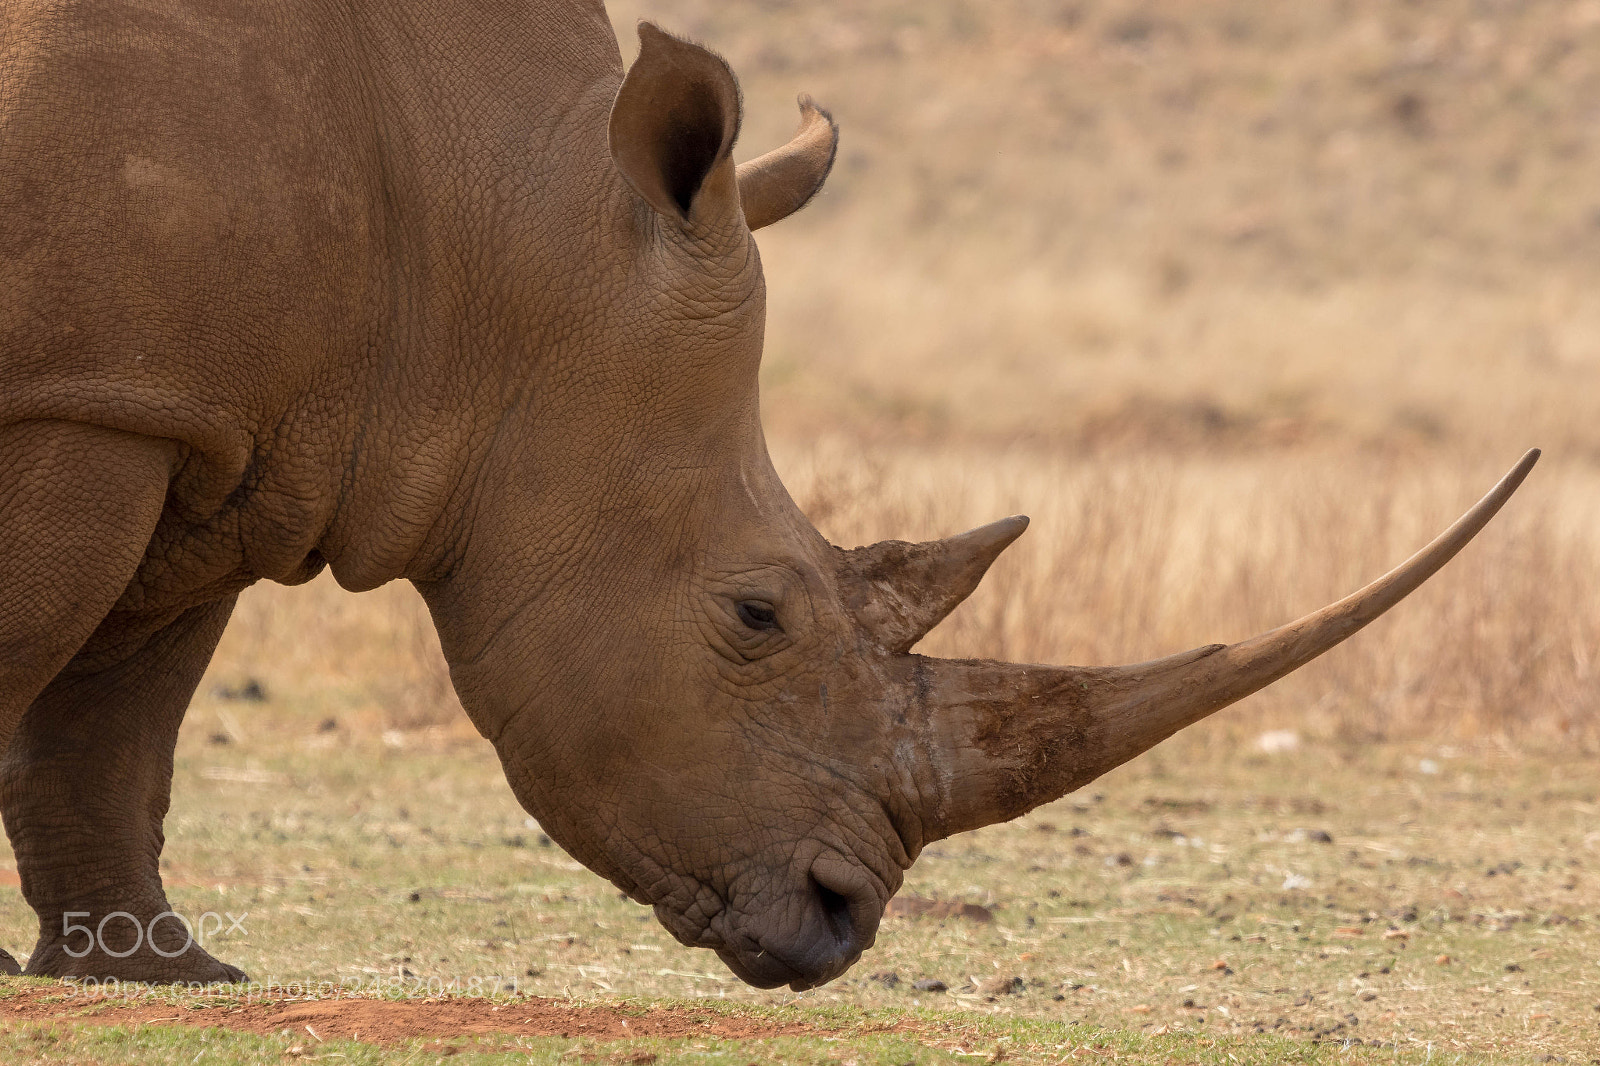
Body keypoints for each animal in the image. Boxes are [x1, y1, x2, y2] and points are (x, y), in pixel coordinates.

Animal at [0, 0, 1535, 989]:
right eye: (756, 614)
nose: (841, 922)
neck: (482, 226)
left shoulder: (213, 420)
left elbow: (119, 714)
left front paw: (156, 975)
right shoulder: (93, 400)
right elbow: (44, 645)